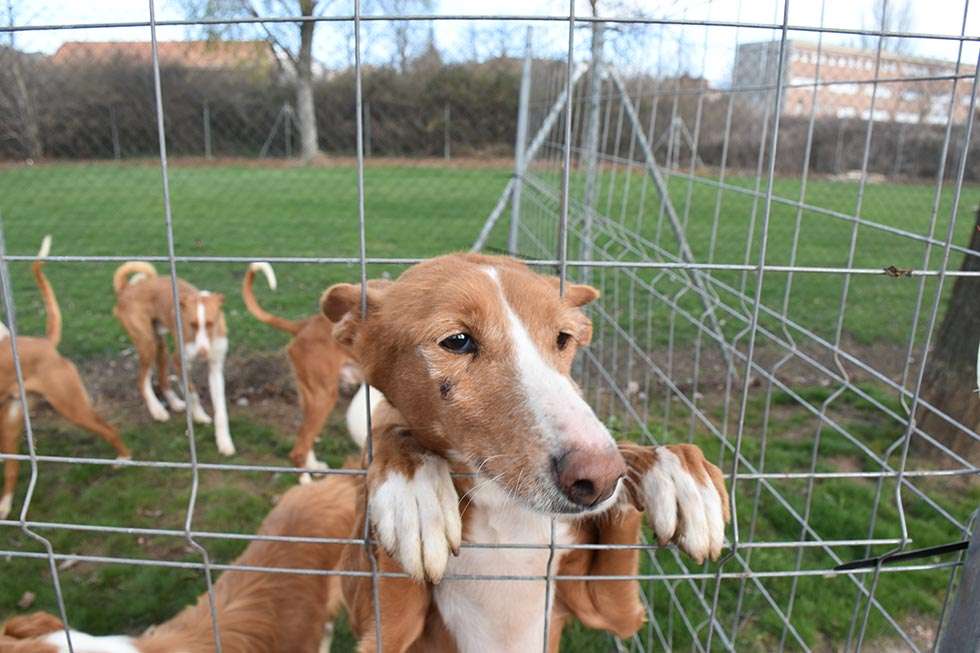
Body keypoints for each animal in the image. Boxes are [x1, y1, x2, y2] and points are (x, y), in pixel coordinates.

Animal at [1, 238, 130, 520]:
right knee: (12, 469)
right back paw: (4, 506)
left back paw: (124, 459)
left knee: (110, 429)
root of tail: (45, 343)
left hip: (71, 406)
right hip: (12, 422)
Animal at [111, 262, 234, 456]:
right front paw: (199, 416)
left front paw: (224, 442)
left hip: (160, 346)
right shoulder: (179, 362)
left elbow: (221, 410)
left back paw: (175, 403)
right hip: (147, 344)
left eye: (211, 324)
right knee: (142, 380)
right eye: (191, 324)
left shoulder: (216, 368)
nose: (201, 353)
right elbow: (192, 393)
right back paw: (157, 410)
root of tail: (127, 288)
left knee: (162, 379)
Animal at [322, 252, 728, 648]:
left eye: (563, 338)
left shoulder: (616, 612)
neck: (506, 512)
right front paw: (415, 492)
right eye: (457, 340)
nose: (601, 478)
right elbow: (388, 426)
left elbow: (629, 462)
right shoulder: (384, 631)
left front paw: (675, 470)